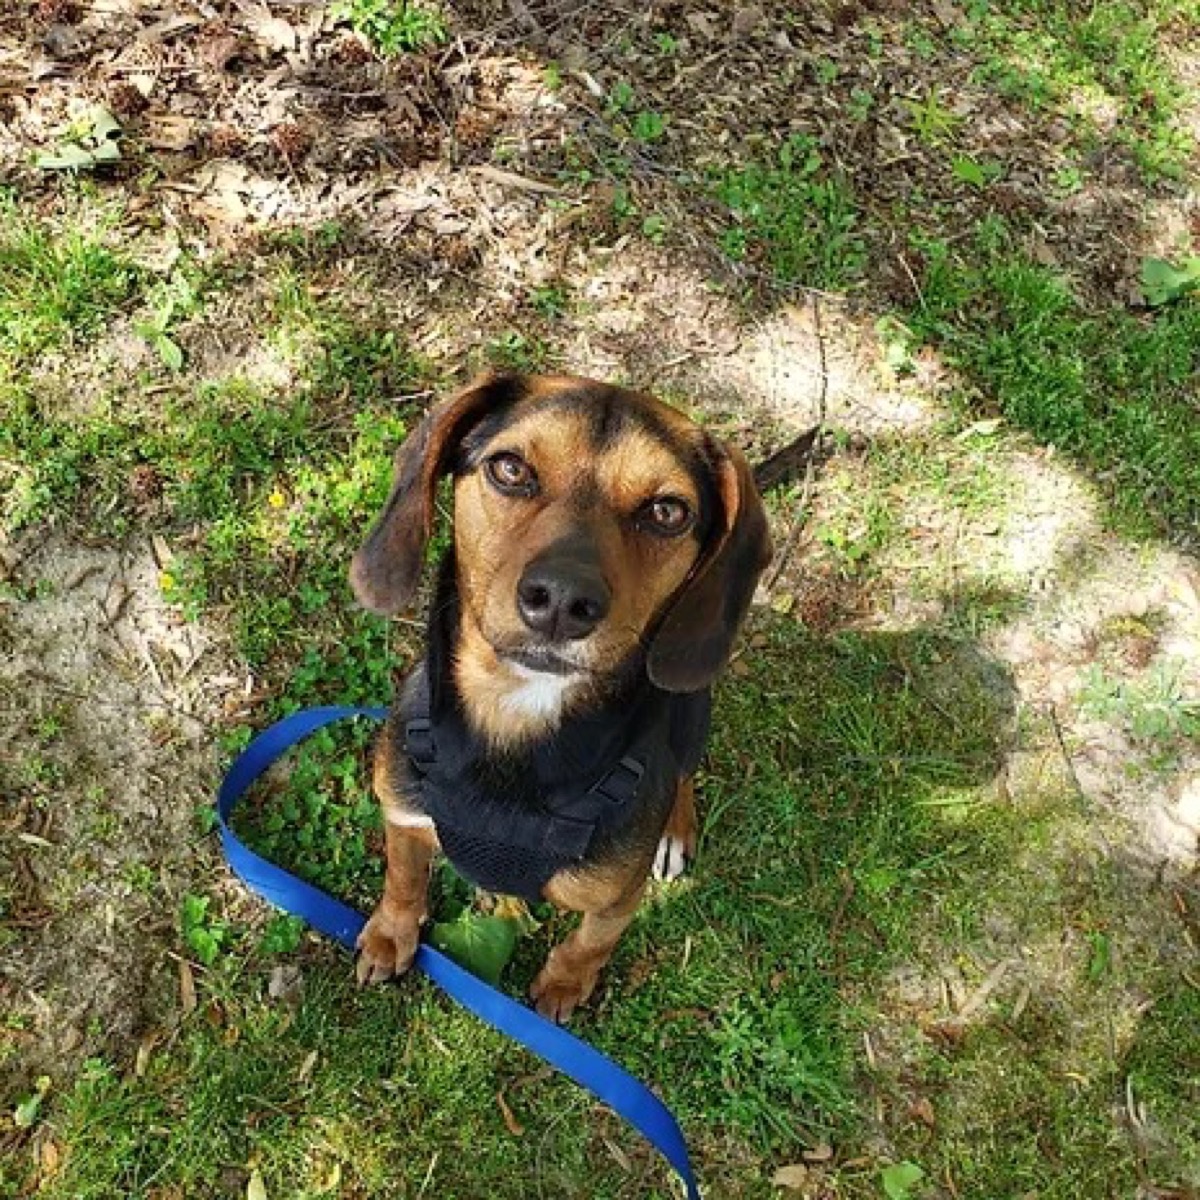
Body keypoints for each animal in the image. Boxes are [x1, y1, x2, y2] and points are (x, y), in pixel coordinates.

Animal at [350, 372, 772, 1022]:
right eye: (510, 469)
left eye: (667, 511)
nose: (563, 600)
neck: (518, 715)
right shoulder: (404, 817)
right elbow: (403, 880)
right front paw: (391, 934)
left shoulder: (616, 898)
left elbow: (589, 944)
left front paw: (564, 986)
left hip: (690, 709)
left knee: (681, 772)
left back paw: (673, 831)